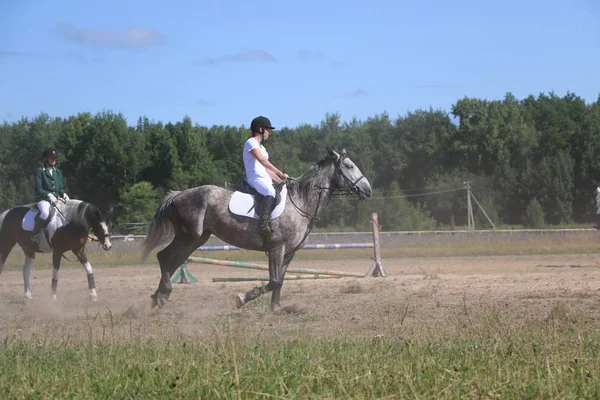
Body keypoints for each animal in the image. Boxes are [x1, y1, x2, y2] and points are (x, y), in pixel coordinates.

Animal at [142, 149, 372, 312]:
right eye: (349, 166)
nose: (368, 190)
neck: (301, 202)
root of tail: (177, 195)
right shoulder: (277, 248)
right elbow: (274, 281)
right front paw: (242, 299)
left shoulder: (288, 253)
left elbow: (279, 281)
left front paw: (276, 308)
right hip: (189, 235)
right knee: (165, 257)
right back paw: (162, 295)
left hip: (197, 239)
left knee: (173, 260)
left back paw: (158, 297)